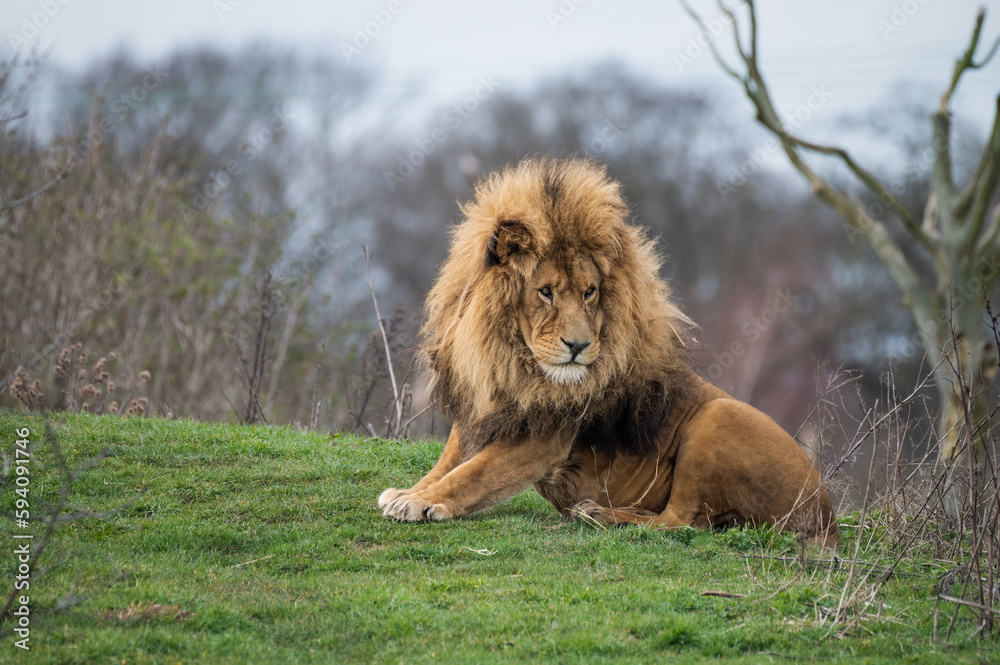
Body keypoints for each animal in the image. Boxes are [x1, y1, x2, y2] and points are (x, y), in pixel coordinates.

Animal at [378, 158, 839, 548]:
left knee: (681, 521)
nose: (579, 346)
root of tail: (829, 518)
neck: (508, 358)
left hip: (720, 416)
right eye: (546, 292)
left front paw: (421, 503)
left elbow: (472, 474)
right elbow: (449, 461)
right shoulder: (483, 408)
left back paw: (601, 514)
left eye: (589, 292)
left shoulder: (542, 440)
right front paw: (410, 491)